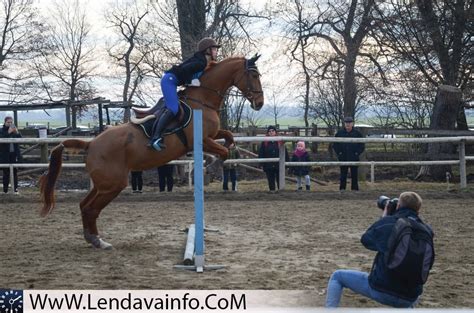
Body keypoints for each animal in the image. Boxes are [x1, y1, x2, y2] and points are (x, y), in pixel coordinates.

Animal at [39, 54, 264, 247]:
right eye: (254, 75)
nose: (260, 103)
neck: (202, 99)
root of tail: (91, 144)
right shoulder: (201, 139)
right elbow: (223, 151)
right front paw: (211, 165)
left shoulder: (212, 135)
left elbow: (229, 138)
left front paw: (211, 161)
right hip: (113, 184)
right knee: (90, 208)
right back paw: (97, 241)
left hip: (104, 184)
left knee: (85, 206)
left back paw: (93, 238)